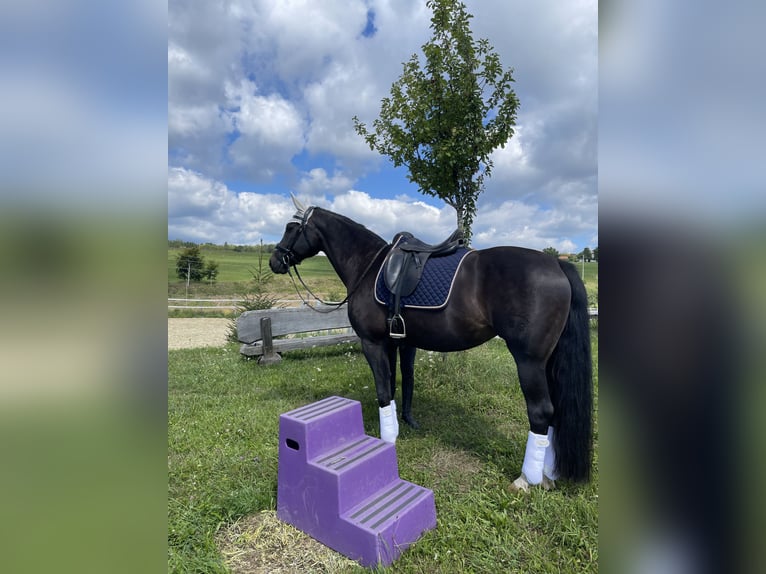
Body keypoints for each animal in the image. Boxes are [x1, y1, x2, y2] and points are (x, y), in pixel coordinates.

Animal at [270, 199, 593, 490]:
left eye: (291, 228)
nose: (275, 261)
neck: (368, 266)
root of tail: (555, 263)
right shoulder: (396, 343)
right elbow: (397, 383)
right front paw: (401, 426)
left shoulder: (372, 343)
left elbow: (383, 390)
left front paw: (387, 439)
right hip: (549, 361)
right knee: (555, 412)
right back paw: (548, 474)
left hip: (529, 361)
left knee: (541, 412)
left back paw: (527, 479)